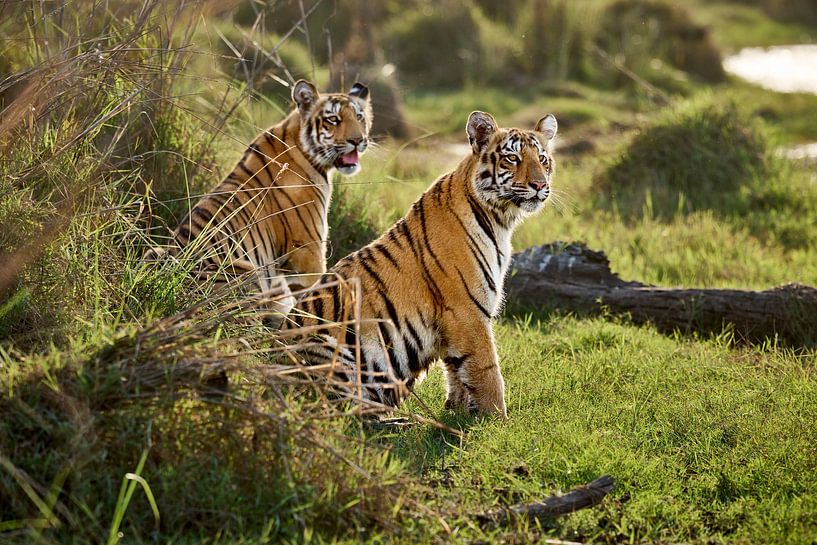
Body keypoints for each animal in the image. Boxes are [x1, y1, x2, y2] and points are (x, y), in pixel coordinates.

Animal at [145, 79, 372, 310]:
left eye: (359, 116)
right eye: (333, 119)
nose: (358, 140)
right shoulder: (307, 254)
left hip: (155, 253)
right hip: (245, 271)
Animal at [282, 110, 558, 417]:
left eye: (542, 159)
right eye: (512, 158)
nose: (540, 185)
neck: (501, 218)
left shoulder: (454, 324)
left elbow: (457, 371)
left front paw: (458, 413)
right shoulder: (467, 312)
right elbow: (487, 371)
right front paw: (496, 418)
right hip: (331, 349)